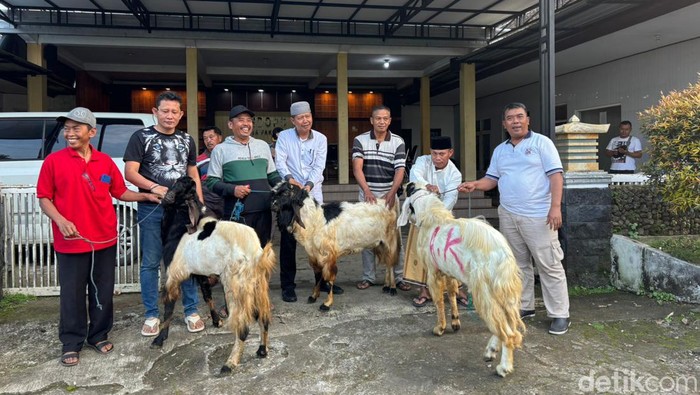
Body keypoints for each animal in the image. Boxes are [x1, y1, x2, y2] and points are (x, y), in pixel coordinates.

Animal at [272, 183, 402, 312]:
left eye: (285, 193)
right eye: (275, 192)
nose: (273, 204)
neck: (315, 218)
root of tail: (386, 202)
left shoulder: (329, 254)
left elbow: (329, 278)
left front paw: (326, 304)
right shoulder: (314, 254)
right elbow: (318, 276)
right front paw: (313, 296)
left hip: (389, 240)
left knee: (391, 263)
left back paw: (392, 288)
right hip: (379, 243)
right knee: (387, 262)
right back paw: (386, 286)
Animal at [396, 183, 524, 378]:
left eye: (409, 188)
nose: (402, 186)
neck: (433, 216)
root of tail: (502, 254)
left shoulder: (433, 271)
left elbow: (439, 300)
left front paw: (440, 328)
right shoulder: (449, 270)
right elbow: (452, 292)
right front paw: (455, 322)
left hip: (484, 289)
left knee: (506, 331)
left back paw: (503, 367)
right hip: (504, 290)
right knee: (508, 324)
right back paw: (491, 351)